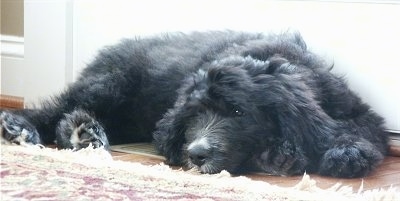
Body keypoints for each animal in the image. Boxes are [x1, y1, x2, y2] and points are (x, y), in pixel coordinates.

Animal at [0, 31, 388, 177]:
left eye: (238, 112)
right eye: (194, 115)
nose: (197, 154)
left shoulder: (355, 109)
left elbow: (359, 129)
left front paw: (345, 154)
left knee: (69, 117)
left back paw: (84, 133)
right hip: (111, 84)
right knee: (54, 110)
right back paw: (22, 127)